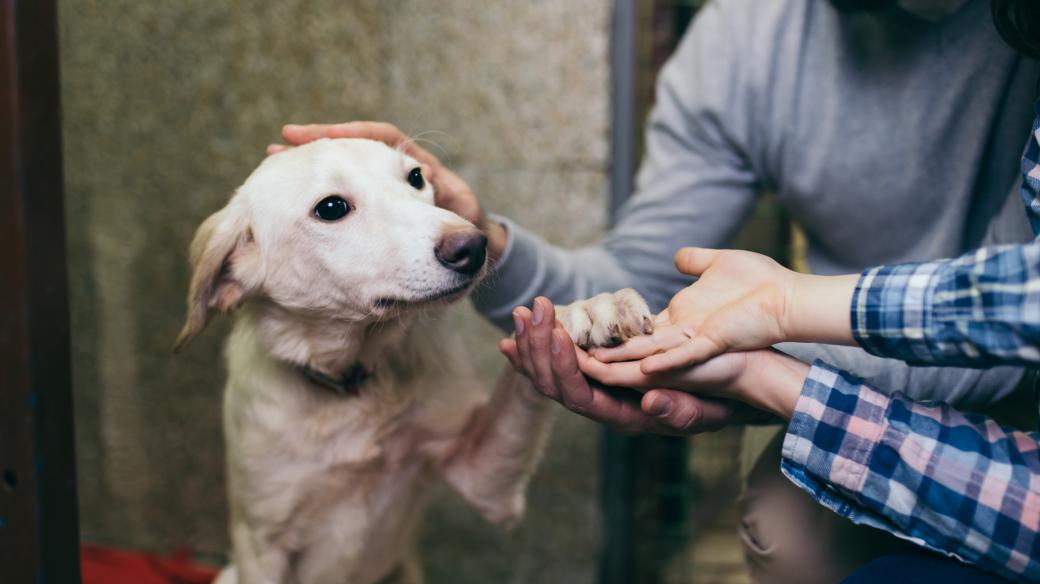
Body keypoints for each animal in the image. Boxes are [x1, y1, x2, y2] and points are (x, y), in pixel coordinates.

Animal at [175, 137, 653, 581]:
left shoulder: (482, 478)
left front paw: (585, 309)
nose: (473, 246)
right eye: (331, 208)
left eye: (417, 177)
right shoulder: (262, 544)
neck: (353, 385)